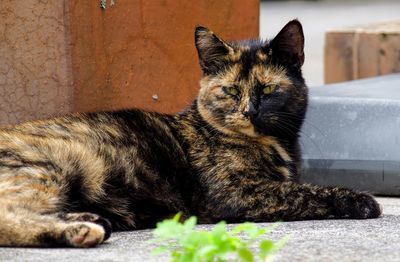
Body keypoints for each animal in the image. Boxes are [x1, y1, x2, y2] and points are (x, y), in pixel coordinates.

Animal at [0, 20, 382, 248]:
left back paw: (89, 221)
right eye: (230, 90)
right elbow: (304, 192)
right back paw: (82, 231)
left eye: (269, 89)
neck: (276, 145)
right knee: (9, 217)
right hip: (48, 168)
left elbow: (300, 187)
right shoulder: (237, 193)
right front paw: (361, 200)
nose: (249, 111)